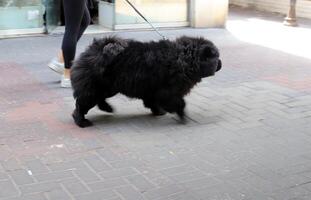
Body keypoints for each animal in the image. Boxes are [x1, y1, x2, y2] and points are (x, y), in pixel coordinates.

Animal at [71, 36, 222, 127]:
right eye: (216, 57)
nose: (221, 63)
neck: (184, 58)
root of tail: (95, 49)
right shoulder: (168, 92)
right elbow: (179, 103)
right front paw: (182, 116)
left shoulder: (152, 90)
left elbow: (152, 101)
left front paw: (158, 111)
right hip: (95, 88)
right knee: (81, 105)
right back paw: (82, 121)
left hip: (107, 88)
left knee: (98, 100)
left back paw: (107, 108)